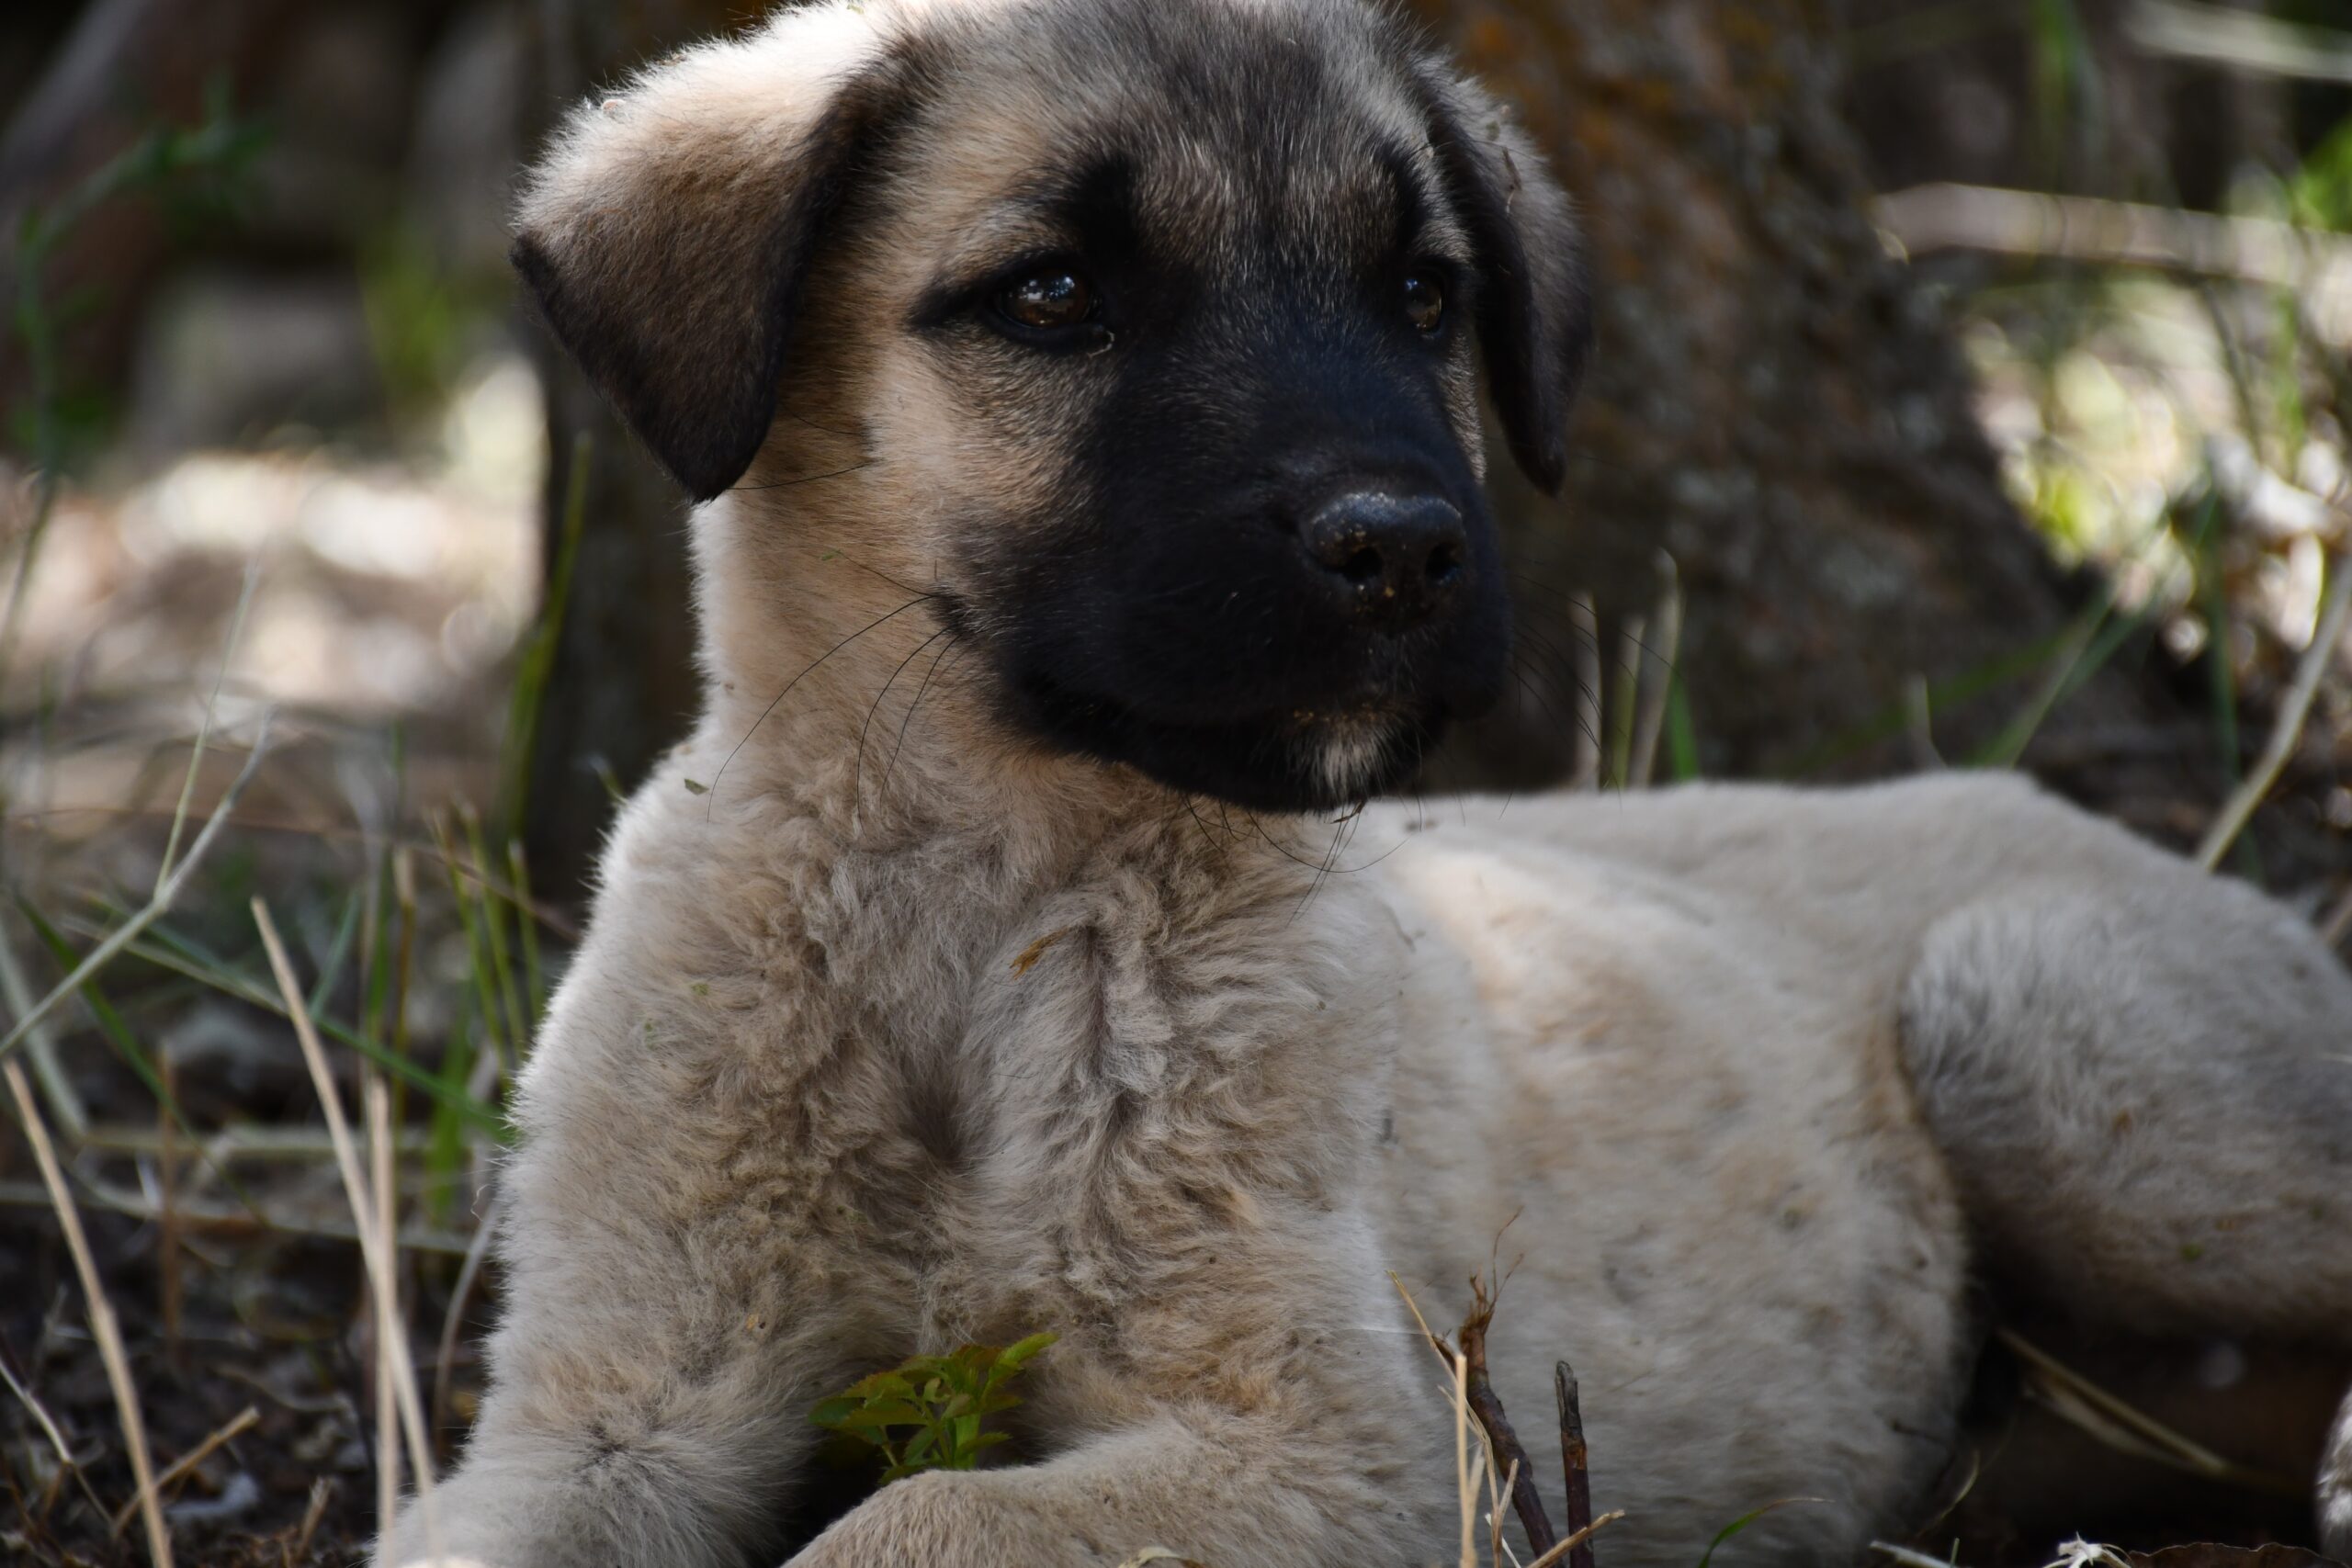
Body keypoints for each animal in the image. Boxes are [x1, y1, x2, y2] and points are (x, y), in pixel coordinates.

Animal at [385, 3, 2352, 1568]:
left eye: (1422, 294)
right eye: (1054, 295)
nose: (1402, 547)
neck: (982, 910)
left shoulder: (1340, 1442)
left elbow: (910, 1519)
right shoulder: (603, 1413)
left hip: (2041, 1027)